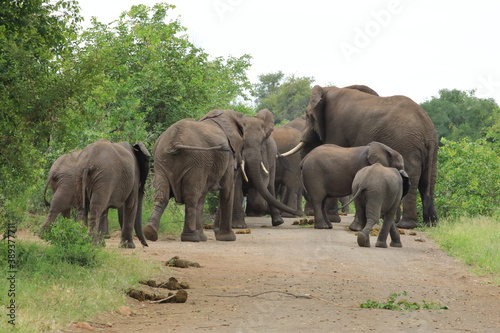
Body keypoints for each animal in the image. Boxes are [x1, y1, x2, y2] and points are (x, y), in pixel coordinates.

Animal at [286, 84, 438, 228]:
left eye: (308, 115)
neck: (328, 90)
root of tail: (427, 130)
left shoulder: (336, 126)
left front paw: (334, 220)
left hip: (406, 145)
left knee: (413, 178)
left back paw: (406, 225)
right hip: (429, 151)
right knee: (427, 182)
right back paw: (430, 224)